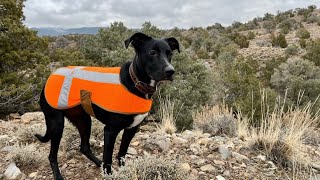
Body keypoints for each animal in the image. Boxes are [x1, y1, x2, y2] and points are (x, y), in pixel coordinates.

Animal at [36, 31, 180, 179]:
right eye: (152, 52)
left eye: (170, 54)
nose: (171, 71)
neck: (135, 82)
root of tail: (48, 79)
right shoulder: (110, 130)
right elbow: (108, 158)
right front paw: (109, 174)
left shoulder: (131, 129)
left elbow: (122, 153)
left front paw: (123, 170)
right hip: (57, 124)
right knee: (52, 156)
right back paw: (58, 175)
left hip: (84, 120)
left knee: (84, 147)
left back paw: (98, 163)